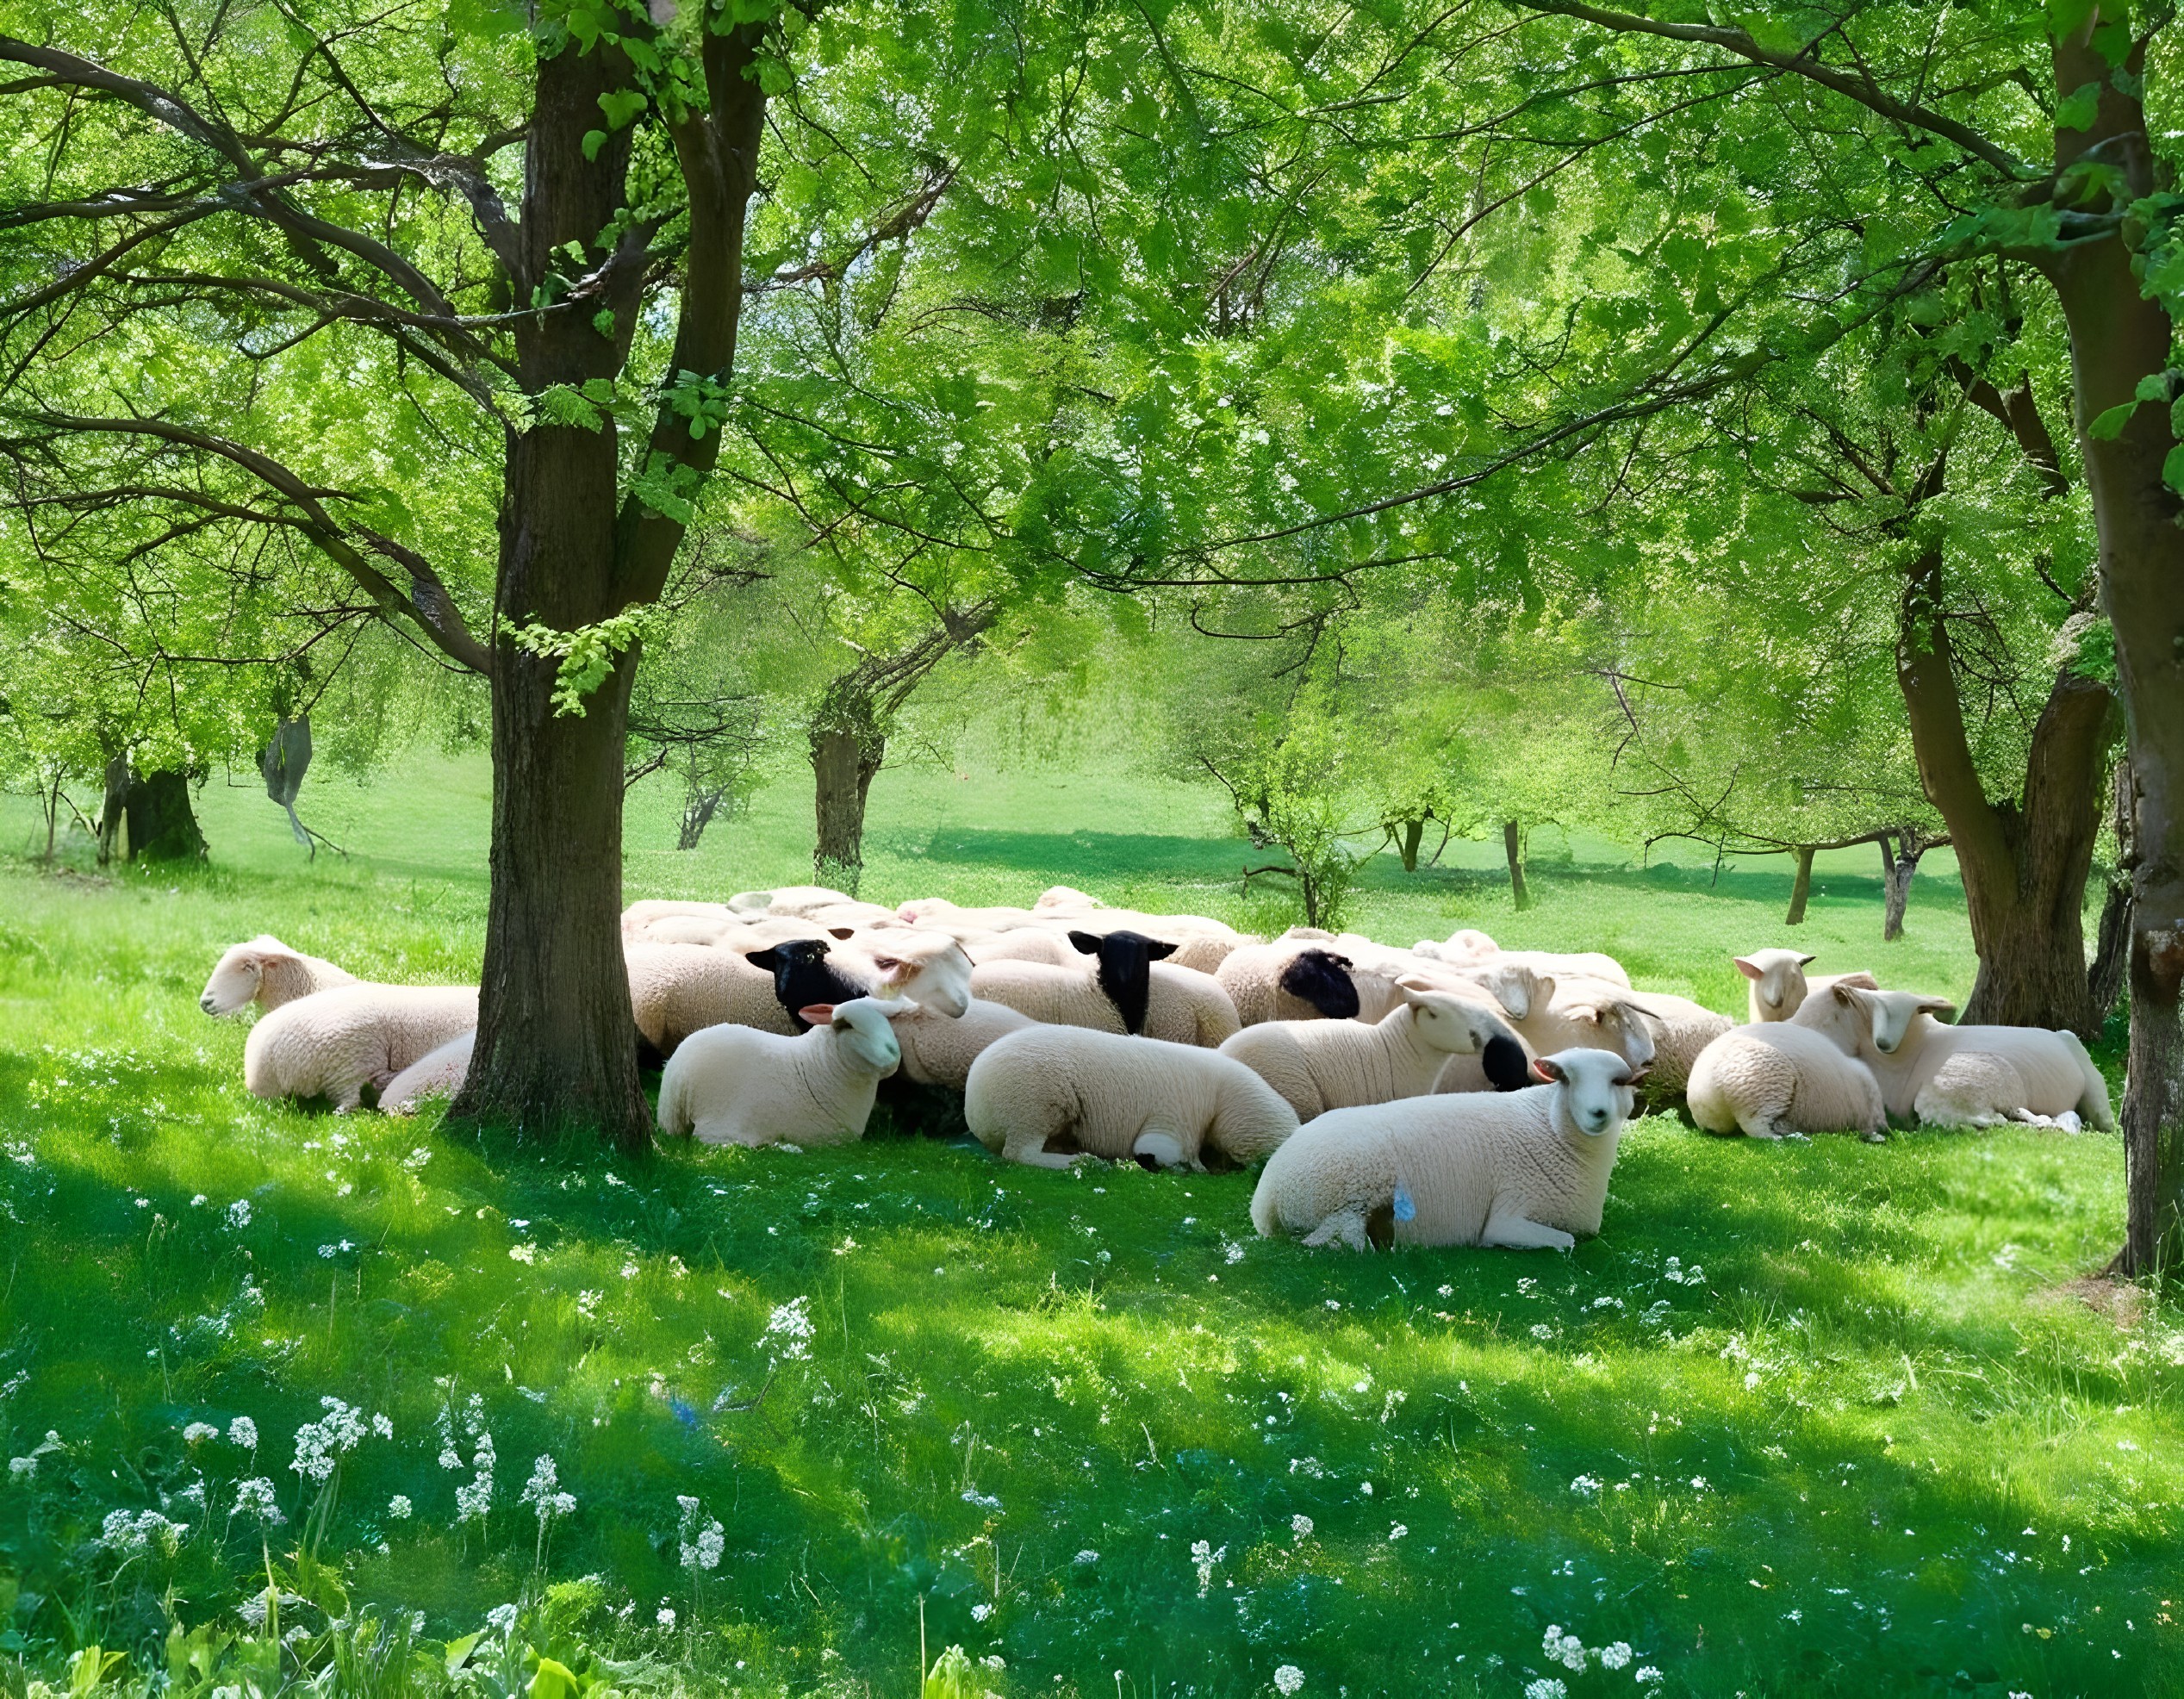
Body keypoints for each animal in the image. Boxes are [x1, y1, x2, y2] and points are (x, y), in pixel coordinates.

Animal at [1250, 1048, 1643, 1251]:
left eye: (1618, 1081)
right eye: (1567, 1079)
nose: (1598, 1113)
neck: (1550, 1128)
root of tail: (1266, 1197)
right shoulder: (1506, 1215)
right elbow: (1565, 1242)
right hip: (1346, 1198)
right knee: (1332, 1239)